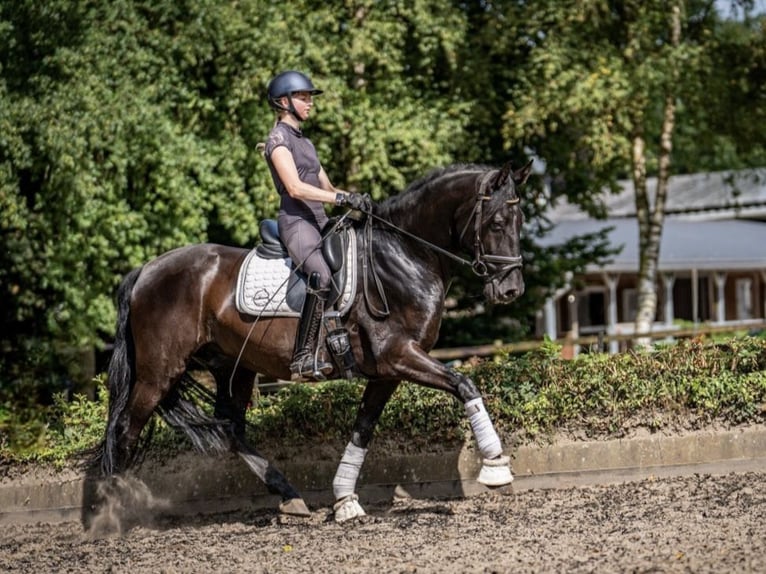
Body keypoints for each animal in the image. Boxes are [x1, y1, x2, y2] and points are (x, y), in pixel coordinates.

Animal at [94, 160, 536, 524]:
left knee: (231, 428)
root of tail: (147, 270)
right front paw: (495, 466)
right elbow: (464, 384)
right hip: (158, 372)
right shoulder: (399, 355)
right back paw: (112, 515)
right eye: (497, 222)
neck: (404, 255)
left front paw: (344, 500)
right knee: (125, 430)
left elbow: (363, 428)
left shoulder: (388, 370)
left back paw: (289, 496)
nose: (511, 290)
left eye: (520, 222)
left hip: (233, 365)